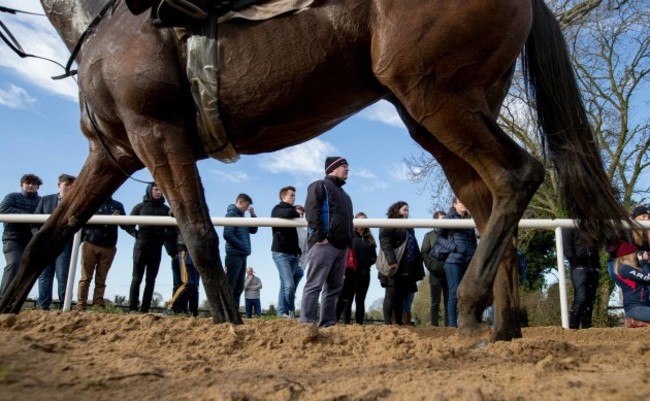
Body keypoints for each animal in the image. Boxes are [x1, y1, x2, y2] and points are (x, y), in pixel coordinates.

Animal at [0, 0, 628, 340]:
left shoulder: (158, 134)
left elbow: (199, 237)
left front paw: (231, 331)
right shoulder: (114, 153)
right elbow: (48, 236)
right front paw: (7, 308)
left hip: (434, 94)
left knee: (515, 174)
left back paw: (476, 307)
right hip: (445, 105)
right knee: (482, 197)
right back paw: (499, 325)